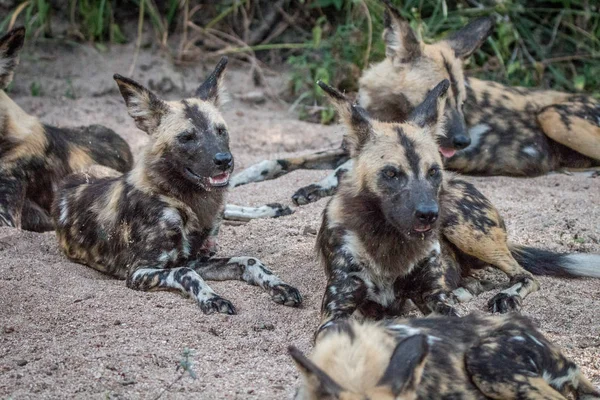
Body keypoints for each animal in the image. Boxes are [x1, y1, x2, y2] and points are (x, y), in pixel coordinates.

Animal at [52, 57, 302, 314]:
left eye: (221, 131)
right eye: (187, 138)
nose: (225, 160)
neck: (186, 201)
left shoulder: (196, 257)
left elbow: (251, 260)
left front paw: (280, 286)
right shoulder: (141, 271)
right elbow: (186, 273)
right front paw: (212, 298)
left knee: (228, 208)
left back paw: (272, 209)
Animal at [231, 1, 600, 208]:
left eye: (462, 100)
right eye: (437, 95)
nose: (464, 141)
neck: (384, 110)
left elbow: (341, 171)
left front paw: (313, 188)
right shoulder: (347, 144)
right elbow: (281, 159)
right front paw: (241, 177)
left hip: (554, 116)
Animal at [314, 79, 600, 332]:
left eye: (433, 171)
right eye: (391, 174)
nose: (429, 214)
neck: (389, 239)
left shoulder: (432, 296)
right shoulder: (337, 311)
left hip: (464, 229)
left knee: (524, 275)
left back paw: (505, 295)